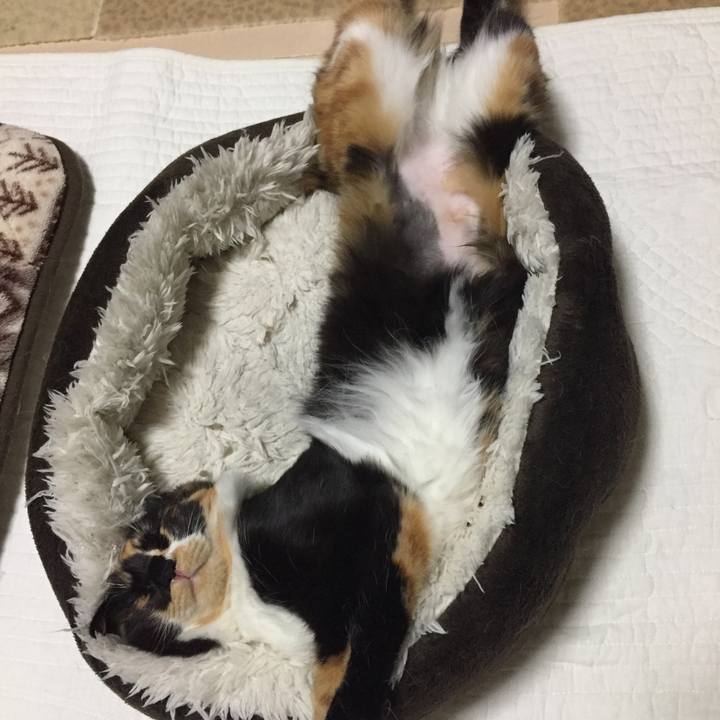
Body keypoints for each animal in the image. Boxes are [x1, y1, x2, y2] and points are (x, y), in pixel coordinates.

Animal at [89, 1, 547, 718]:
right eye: (137, 587)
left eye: (160, 533)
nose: (160, 569)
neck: (245, 602)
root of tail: (424, 144)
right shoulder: (333, 619)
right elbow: (335, 669)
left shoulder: (368, 518)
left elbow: (371, 646)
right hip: (489, 91)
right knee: (487, 45)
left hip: (376, 92)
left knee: (364, 43)